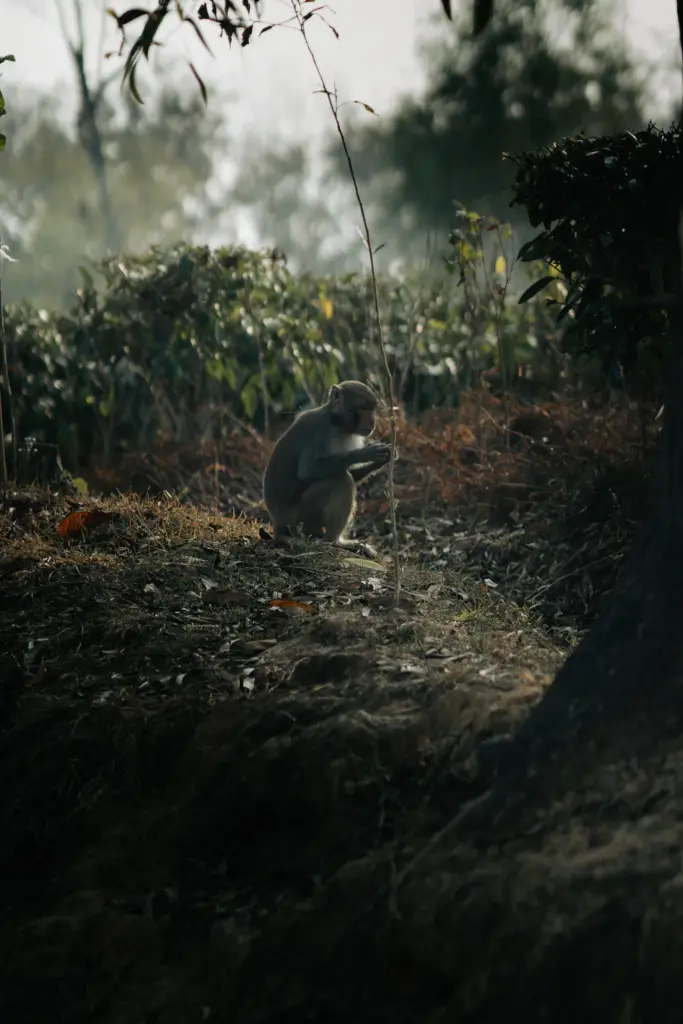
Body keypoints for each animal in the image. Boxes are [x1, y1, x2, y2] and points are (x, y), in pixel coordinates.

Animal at [263, 380, 393, 549]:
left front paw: (381, 460)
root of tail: (278, 524)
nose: (372, 421)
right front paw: (365, 453)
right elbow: (307, 471)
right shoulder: (320, 431)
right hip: (298, 517)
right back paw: (334, 541)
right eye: (363, 408)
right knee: (341, 479)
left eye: (372, 409)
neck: (336, 423)